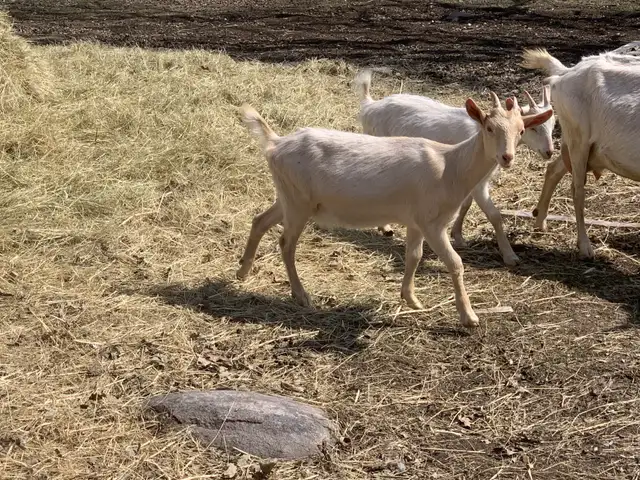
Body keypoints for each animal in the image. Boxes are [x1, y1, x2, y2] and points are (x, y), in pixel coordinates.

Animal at [236, 97, 552, 328]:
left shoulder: (415, 221)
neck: (451, 167)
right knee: (286, 244)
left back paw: (242, 271)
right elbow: (455, 263)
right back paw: (301, 295)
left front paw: (411, 299)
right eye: (488, 128)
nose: (506, 157)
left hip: (289, 197)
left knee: (260, 220)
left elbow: (414, 256)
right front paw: (469, 317)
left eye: (520, 131)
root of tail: (275, 143)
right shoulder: (432, 222)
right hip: (298, 202)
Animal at [355, 70, 556, 266]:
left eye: (522, 130)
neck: (478, 134)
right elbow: (495, 216)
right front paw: (510, 256)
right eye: (534, 129)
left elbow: (465, 204)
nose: (549, 152)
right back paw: (385, 227)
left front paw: (458, 236)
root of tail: (370, 107)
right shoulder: (476, 182)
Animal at [523, 48, 640, 257]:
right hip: (579, 140)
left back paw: (540, 221)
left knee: (553, 169)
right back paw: (585, 246)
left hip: (577, 144)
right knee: (577, 190)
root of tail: (566, 72)